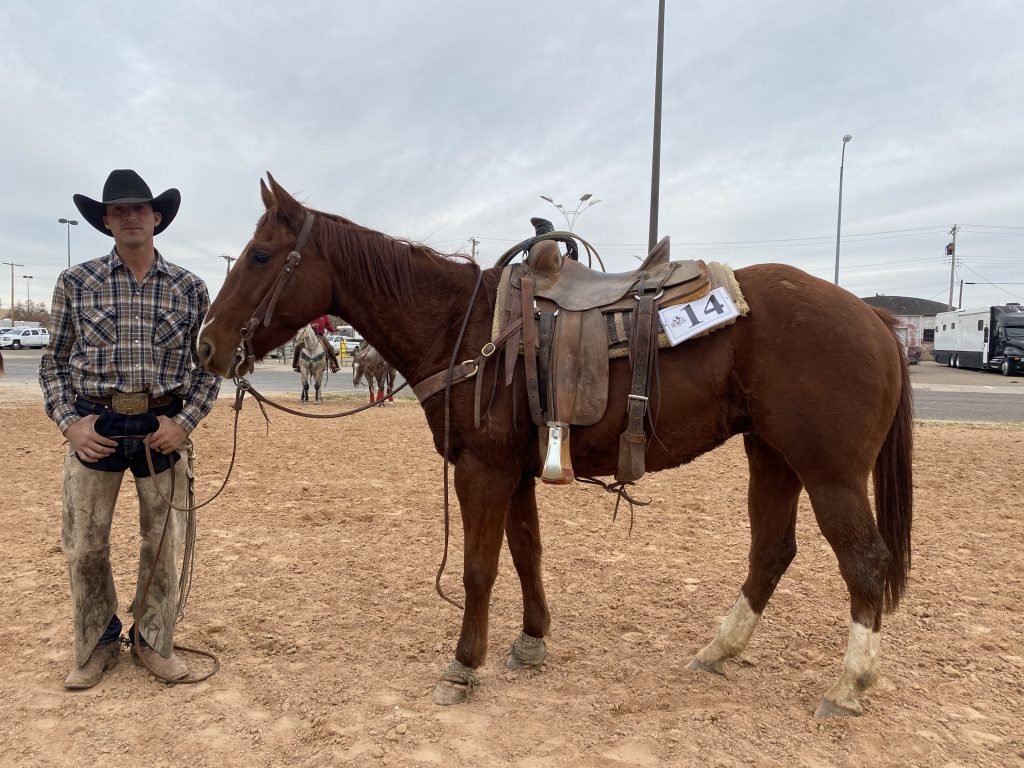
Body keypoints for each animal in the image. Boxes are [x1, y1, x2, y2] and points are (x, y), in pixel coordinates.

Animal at [197, 174, 913, 717]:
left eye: (260, 256)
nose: (207, 345)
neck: (461, 325)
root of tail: (873, 318)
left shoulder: (483, 470)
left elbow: (480, 568)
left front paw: (464, 665)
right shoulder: (513, 470)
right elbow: (526, 555)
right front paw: (531, 642)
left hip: (828, 472)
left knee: (864, 562)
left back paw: (848, 685)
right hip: (771, 456)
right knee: (772, 551)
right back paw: (720, 650)